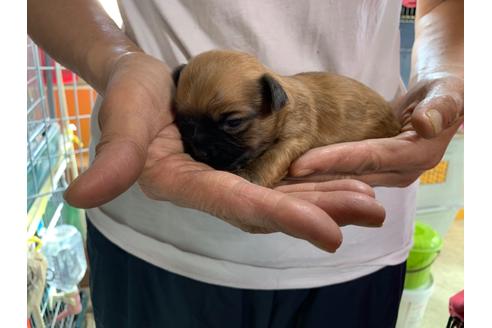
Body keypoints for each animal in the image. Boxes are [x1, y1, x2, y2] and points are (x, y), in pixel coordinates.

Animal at [172, 49, 400, 186]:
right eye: (184, 122)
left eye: (233, 123)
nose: (199, 150)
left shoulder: (294, 137)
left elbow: (271, 157)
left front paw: (251, 176)